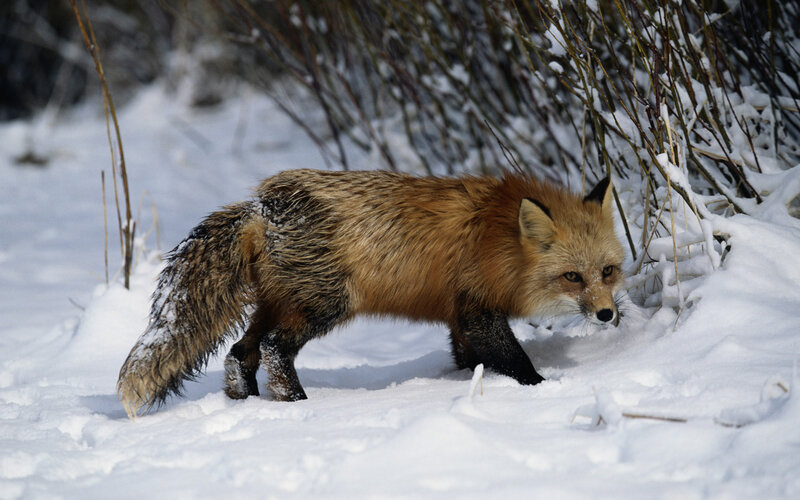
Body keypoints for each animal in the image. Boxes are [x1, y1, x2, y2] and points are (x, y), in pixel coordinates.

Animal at [117, 169, 625, 417]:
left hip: (276, 303)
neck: (497, 239)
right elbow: (515, 360)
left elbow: (468, 360)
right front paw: (542, 391)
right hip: (323, 304)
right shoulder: (478, 310)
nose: (607, 315)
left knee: (241, 352)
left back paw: (247, 405)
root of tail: (263, 205)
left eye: (608, 271)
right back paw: (298, 406)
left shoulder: (459, 314)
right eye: (572, 277)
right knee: (274, 348)